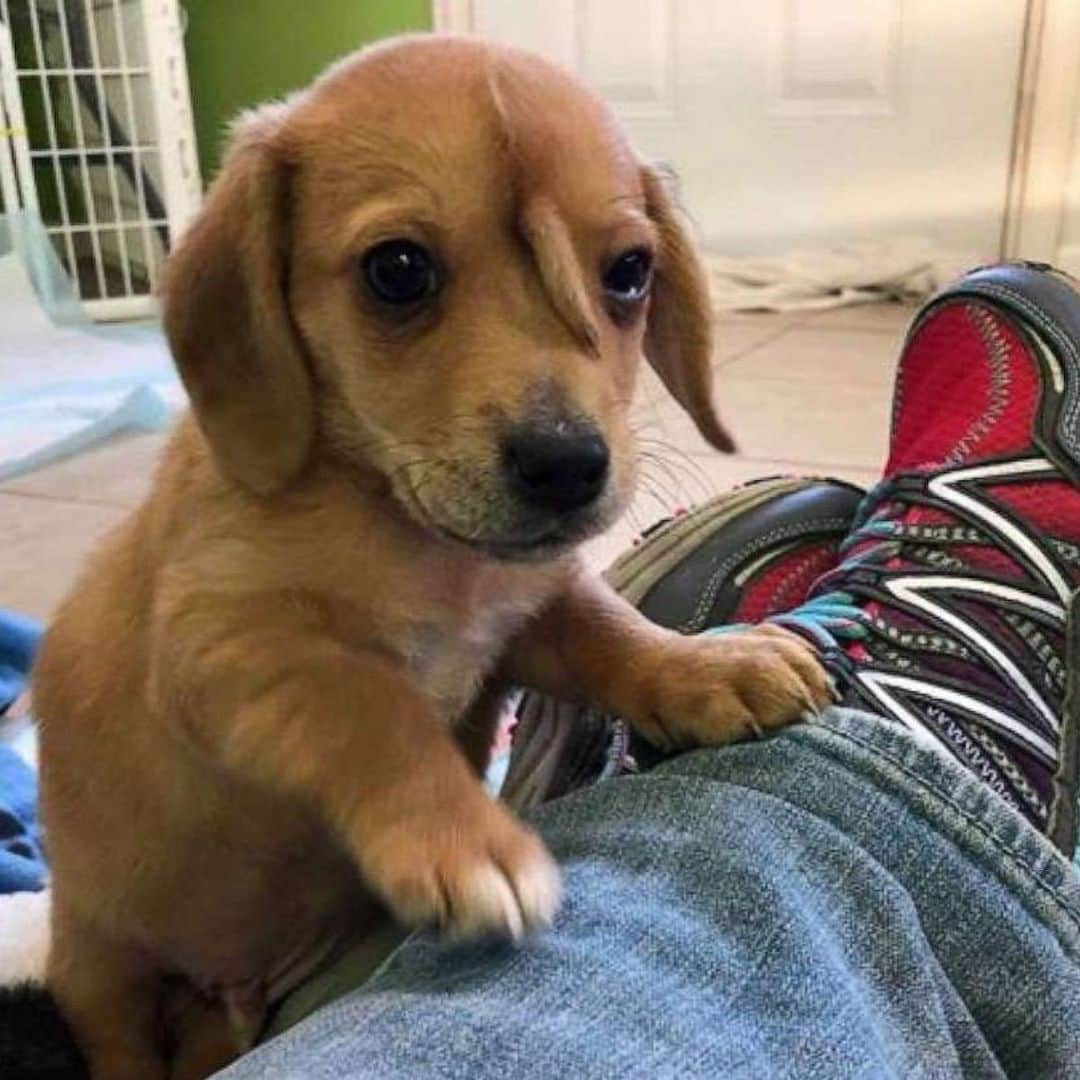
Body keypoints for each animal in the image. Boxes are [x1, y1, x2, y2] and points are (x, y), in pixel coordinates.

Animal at [33, 35, 825, 1080]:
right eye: (398, 270)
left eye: (627, 272)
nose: (569, 466)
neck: (421, 543)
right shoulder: (228, 649)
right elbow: (376, 708)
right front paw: (464, 839)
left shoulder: (529, 614)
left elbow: (612, 630)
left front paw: (707, 667)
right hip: (102, 975)